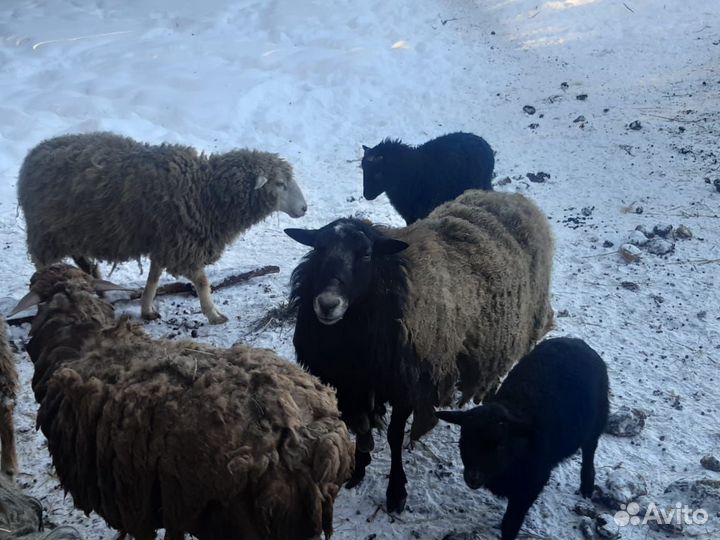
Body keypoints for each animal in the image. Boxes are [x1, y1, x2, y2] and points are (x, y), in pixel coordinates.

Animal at [17, 132, 308, 325]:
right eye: (280, 184)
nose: (304, 208)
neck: (204, 192)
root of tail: (34, 153)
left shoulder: (166, 240)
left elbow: (154, 277)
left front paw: (147, 309)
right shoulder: (182, 246)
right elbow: (202, 282)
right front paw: (213, 314)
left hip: (71, 232)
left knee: (82, 262)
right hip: (45, 234)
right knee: (44, 269)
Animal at [284, 189, 554, 513]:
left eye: (366, 254)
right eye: (319, 249)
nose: (327, 304)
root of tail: (512, 197)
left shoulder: (408, 385)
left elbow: (394, 436)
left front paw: (396, 491)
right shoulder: (352, 384)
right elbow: (361, 427)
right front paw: (359, 468)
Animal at [436, 337, 609, 540]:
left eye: (500, 446)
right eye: (464, 440)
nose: (473, 478)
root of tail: (577, 341)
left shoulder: (528, 488)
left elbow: (510, 524)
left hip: (597, 419)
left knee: (589, 450)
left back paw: (587, 486)